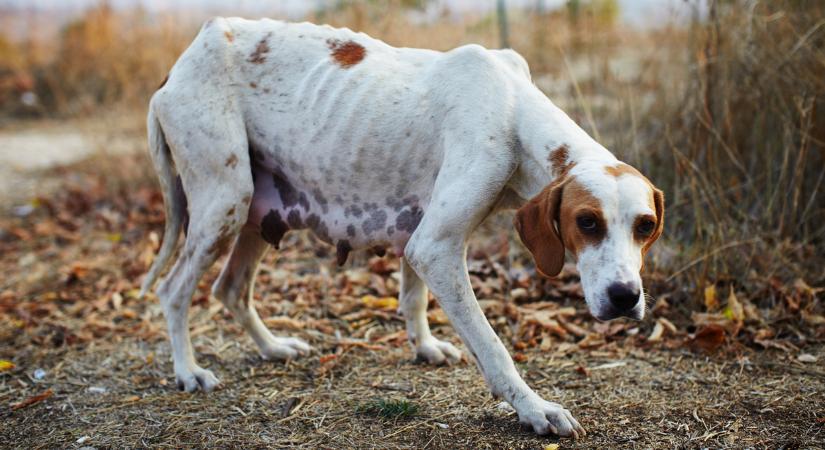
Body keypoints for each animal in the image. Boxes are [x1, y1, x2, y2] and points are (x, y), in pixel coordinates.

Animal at [137, 18, 664, 440]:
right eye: (586, 222)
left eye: (646, 226)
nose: (625, 297)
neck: (513, 110)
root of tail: (181, 63)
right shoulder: (436, 246)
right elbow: (493, 348)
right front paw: (534, 409)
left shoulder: (423, 233)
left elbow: (413, 299)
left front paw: (425, 347)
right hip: (224, 201)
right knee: (173, 290)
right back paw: (189, 372)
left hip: (254, 211)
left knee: (229, 289)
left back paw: (273, 347)